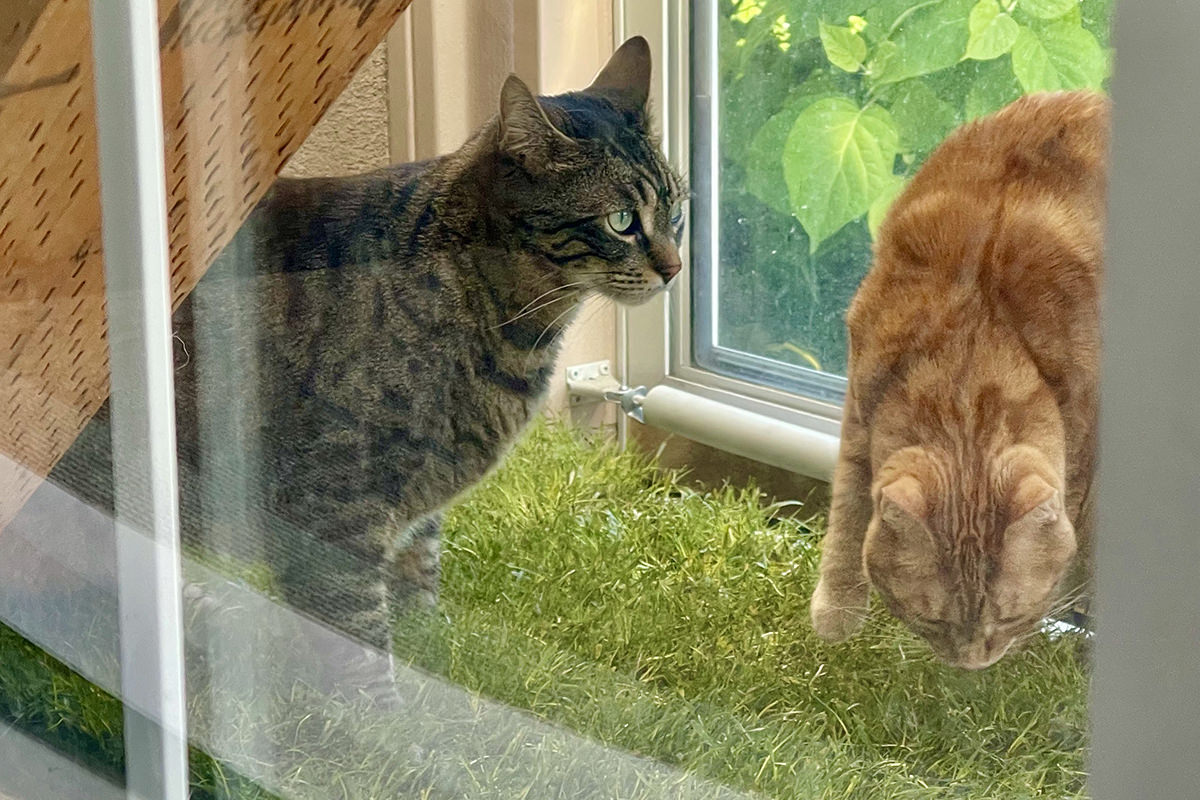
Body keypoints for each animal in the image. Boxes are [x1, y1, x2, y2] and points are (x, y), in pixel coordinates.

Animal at [51, 37, 686, 695]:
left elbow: (420, 590)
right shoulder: (337, 507)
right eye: (621, 221)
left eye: (676, 212)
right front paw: (390, 718)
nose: (676, 268)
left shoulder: (417, 505)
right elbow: (358, 647)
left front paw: (435, 667)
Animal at [806, 92, 1104, 671]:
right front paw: (836, 611)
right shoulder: (859, 399)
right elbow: (848, 507)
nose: (972, 666)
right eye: (933, 620)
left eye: (1010, 617)